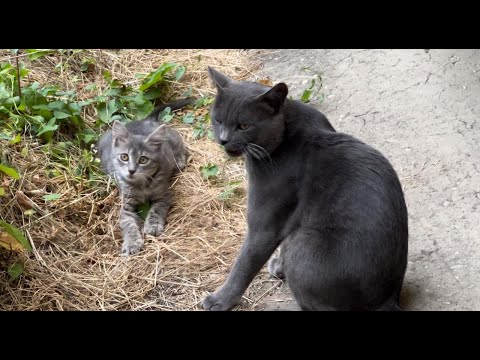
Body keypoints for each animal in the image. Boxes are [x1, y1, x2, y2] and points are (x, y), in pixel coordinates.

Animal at [95, 98, 193, 256]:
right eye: (124, 157)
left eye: (143, 160)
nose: (131, 170)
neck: (141, 185)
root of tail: (144, 120)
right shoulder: (125, 205)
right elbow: (128, 223)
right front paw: (132, 242)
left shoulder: (164, 195)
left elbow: (156, 209)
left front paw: (153, 225)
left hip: (172, 139)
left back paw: (179, 161)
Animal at [202, 68, 408, 312]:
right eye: (218, 119)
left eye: (244, 126)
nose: (223, 139)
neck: (287, 131)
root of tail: (388, 299)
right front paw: (279, 265)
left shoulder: (265, 224)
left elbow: (244, 264)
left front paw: (219, 300)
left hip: (303, 242)